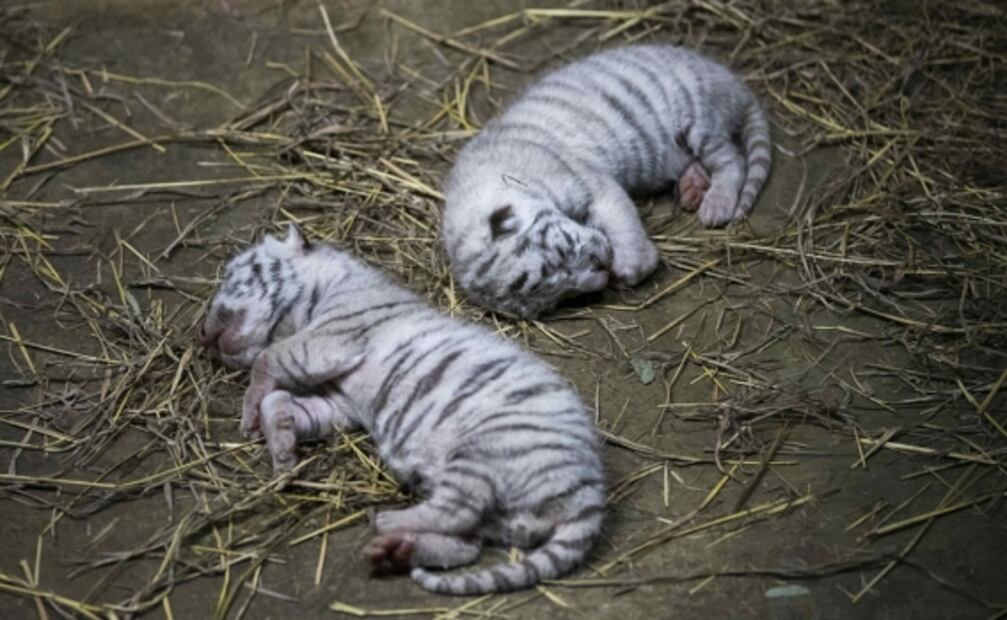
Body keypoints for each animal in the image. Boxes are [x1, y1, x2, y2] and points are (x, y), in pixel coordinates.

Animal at [197, 225, 605, 595]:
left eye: (231, 275)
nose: (200, 335)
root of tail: (590, 492)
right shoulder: (340, 404)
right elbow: (283, 402)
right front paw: (282, 451)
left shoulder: (330, 339)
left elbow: (266, 359)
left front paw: (249, 416)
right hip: (501, 514)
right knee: (464, 545)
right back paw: (396, 551)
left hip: (487, 449)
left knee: (458, 510)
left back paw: (383, 521)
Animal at [442, 43, 772, 318]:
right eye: (558, 296)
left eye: (561, 253)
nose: (601, 271)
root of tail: (732, 81)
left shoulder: (593, 184)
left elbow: (623, 223)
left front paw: (633, 265)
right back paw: (692, 189)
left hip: (699, 120)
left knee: (732, 160)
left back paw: (717, 205)